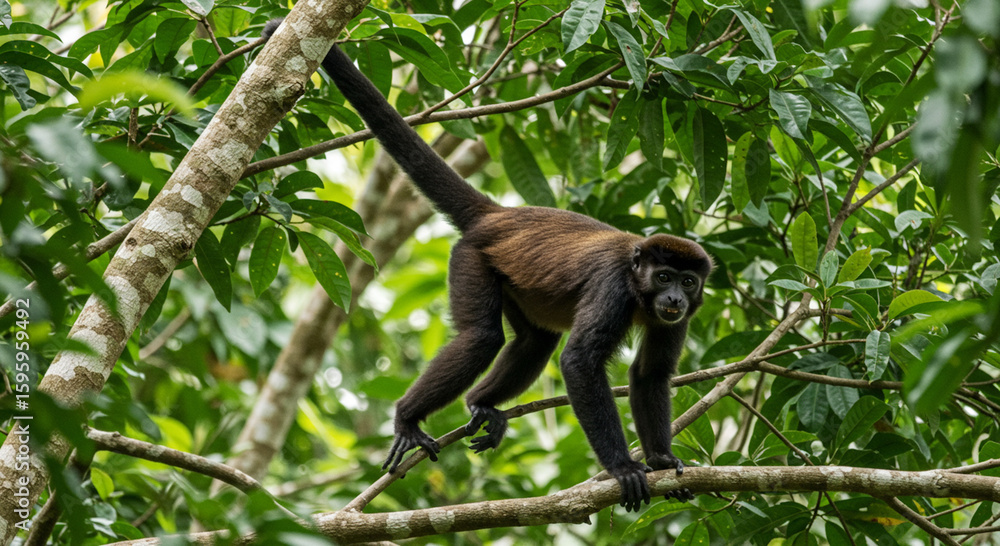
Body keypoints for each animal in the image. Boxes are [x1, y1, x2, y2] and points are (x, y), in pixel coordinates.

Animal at [262, 20, 712, 512]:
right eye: (663, 276)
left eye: (688, 283)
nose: (674, 297)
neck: (638, 287)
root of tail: (497, 215)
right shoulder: (612, 286)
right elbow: (578, 361)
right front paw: (623, 467)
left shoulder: (678, 319)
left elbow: (650, 375)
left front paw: (662, 460)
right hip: (471, 257)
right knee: (483, 337)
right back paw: (407, 417)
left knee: (534, 341)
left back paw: (481, 404)